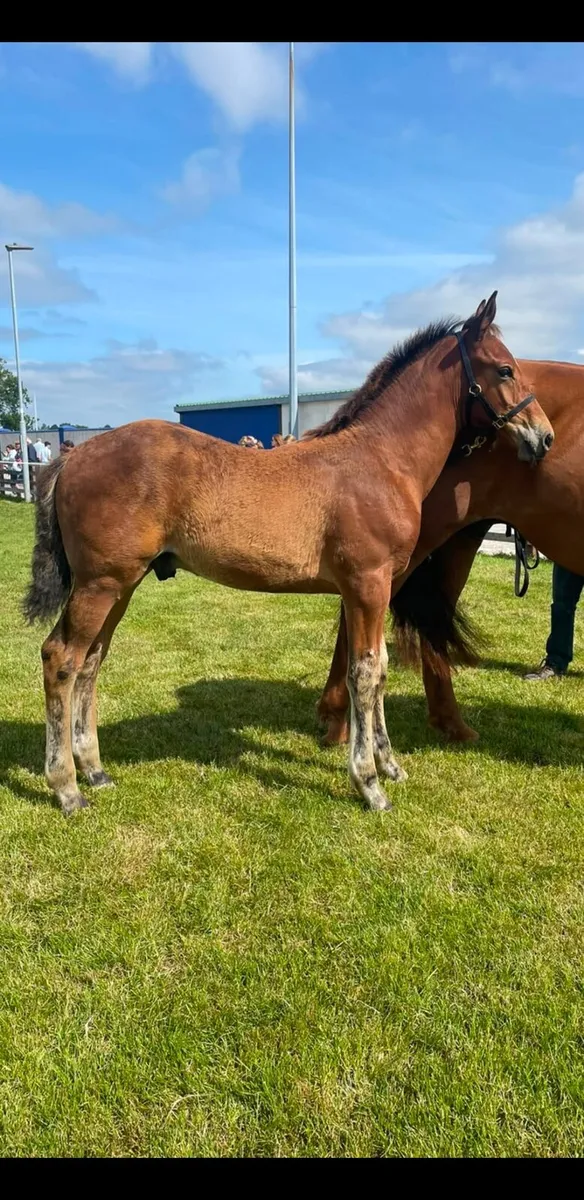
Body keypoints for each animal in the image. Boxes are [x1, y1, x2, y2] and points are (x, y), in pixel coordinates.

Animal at [23, 293, 553, 816]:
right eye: (505, 369)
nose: (543, 436)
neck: (381, 460)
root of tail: (75, 454)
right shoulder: (366, 584)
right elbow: (364, 673)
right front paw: (369, 784)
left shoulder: (374, 589)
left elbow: (379, 668)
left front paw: (390, 766)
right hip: (101, 583)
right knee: (61, 658)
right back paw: (66, 788)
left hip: (122, 584)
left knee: (91, 661)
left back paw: (95, 770)